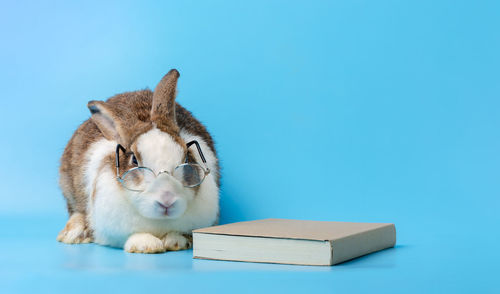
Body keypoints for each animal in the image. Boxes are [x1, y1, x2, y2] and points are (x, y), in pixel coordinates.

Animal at [56, 69, 219, 253]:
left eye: (185, 157)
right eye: (134, 159)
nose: (167, 201)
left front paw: (176, 242)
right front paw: (146, 245)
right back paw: (74, 234)